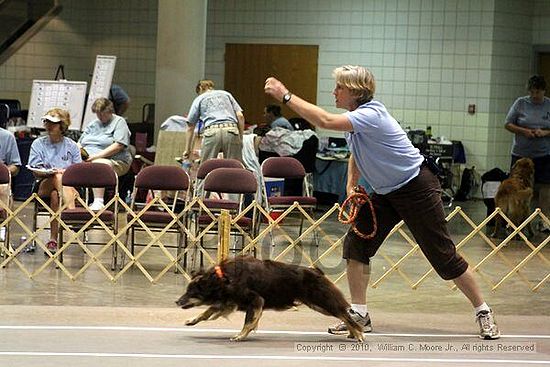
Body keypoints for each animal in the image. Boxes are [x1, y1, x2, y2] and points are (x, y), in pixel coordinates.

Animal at [177, 256, 366, 342]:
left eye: (190, 292)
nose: (177, 301)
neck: (223, 278)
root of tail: (316, 272)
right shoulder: (229, 301)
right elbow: (206, 312)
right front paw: (192, 320)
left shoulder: (255, 300)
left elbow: (248, 322)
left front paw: (241, 335)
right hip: (319, 304)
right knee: (344, 315)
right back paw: (352, 333)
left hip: (322, 302)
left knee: (345, 315)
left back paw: (358, 333)